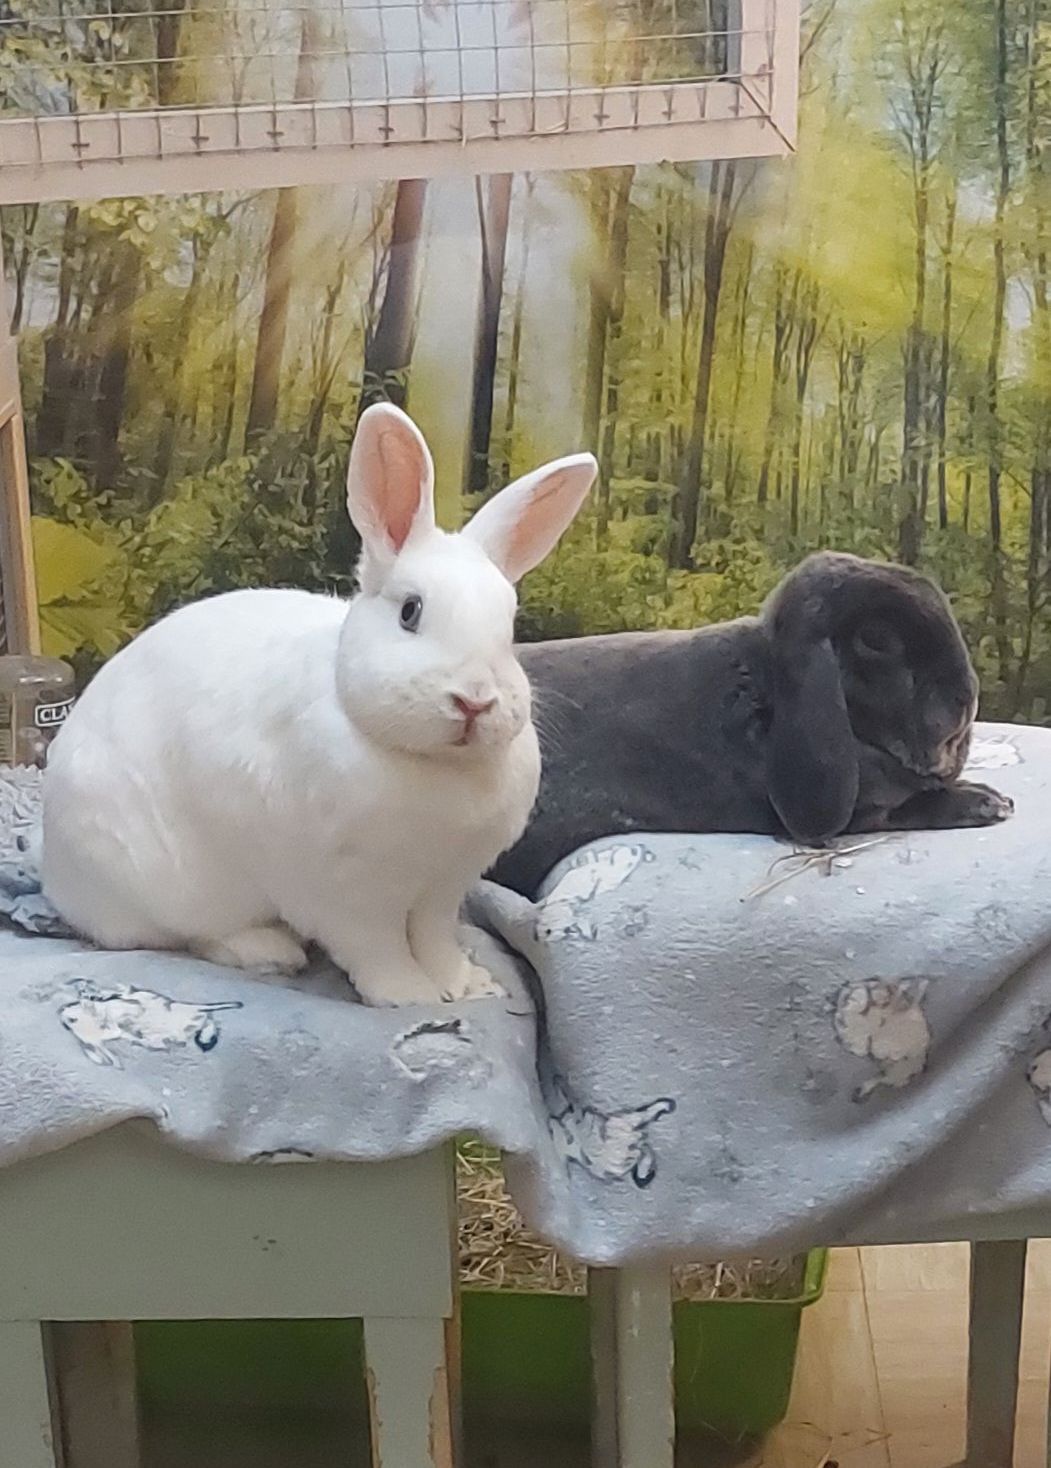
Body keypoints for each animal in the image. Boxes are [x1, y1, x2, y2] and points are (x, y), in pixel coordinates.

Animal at [43, 404, 597, 1006]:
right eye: (410, 612)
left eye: (509, 626)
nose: (474, 701)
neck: (433, 764)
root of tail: (55, 875)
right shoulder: (345, 894)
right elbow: (378, 949)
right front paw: (410, 997)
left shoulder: (443, 889)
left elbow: (435, 939)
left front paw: (467, 985)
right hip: (168, 884)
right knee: (189, 934)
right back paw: (268, 951)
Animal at [491, 550, 1013, 896]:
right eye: (877, 639)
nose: (965, 700)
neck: (765, 690)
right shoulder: (863, 812)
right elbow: (906, 807)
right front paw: (987, 802)